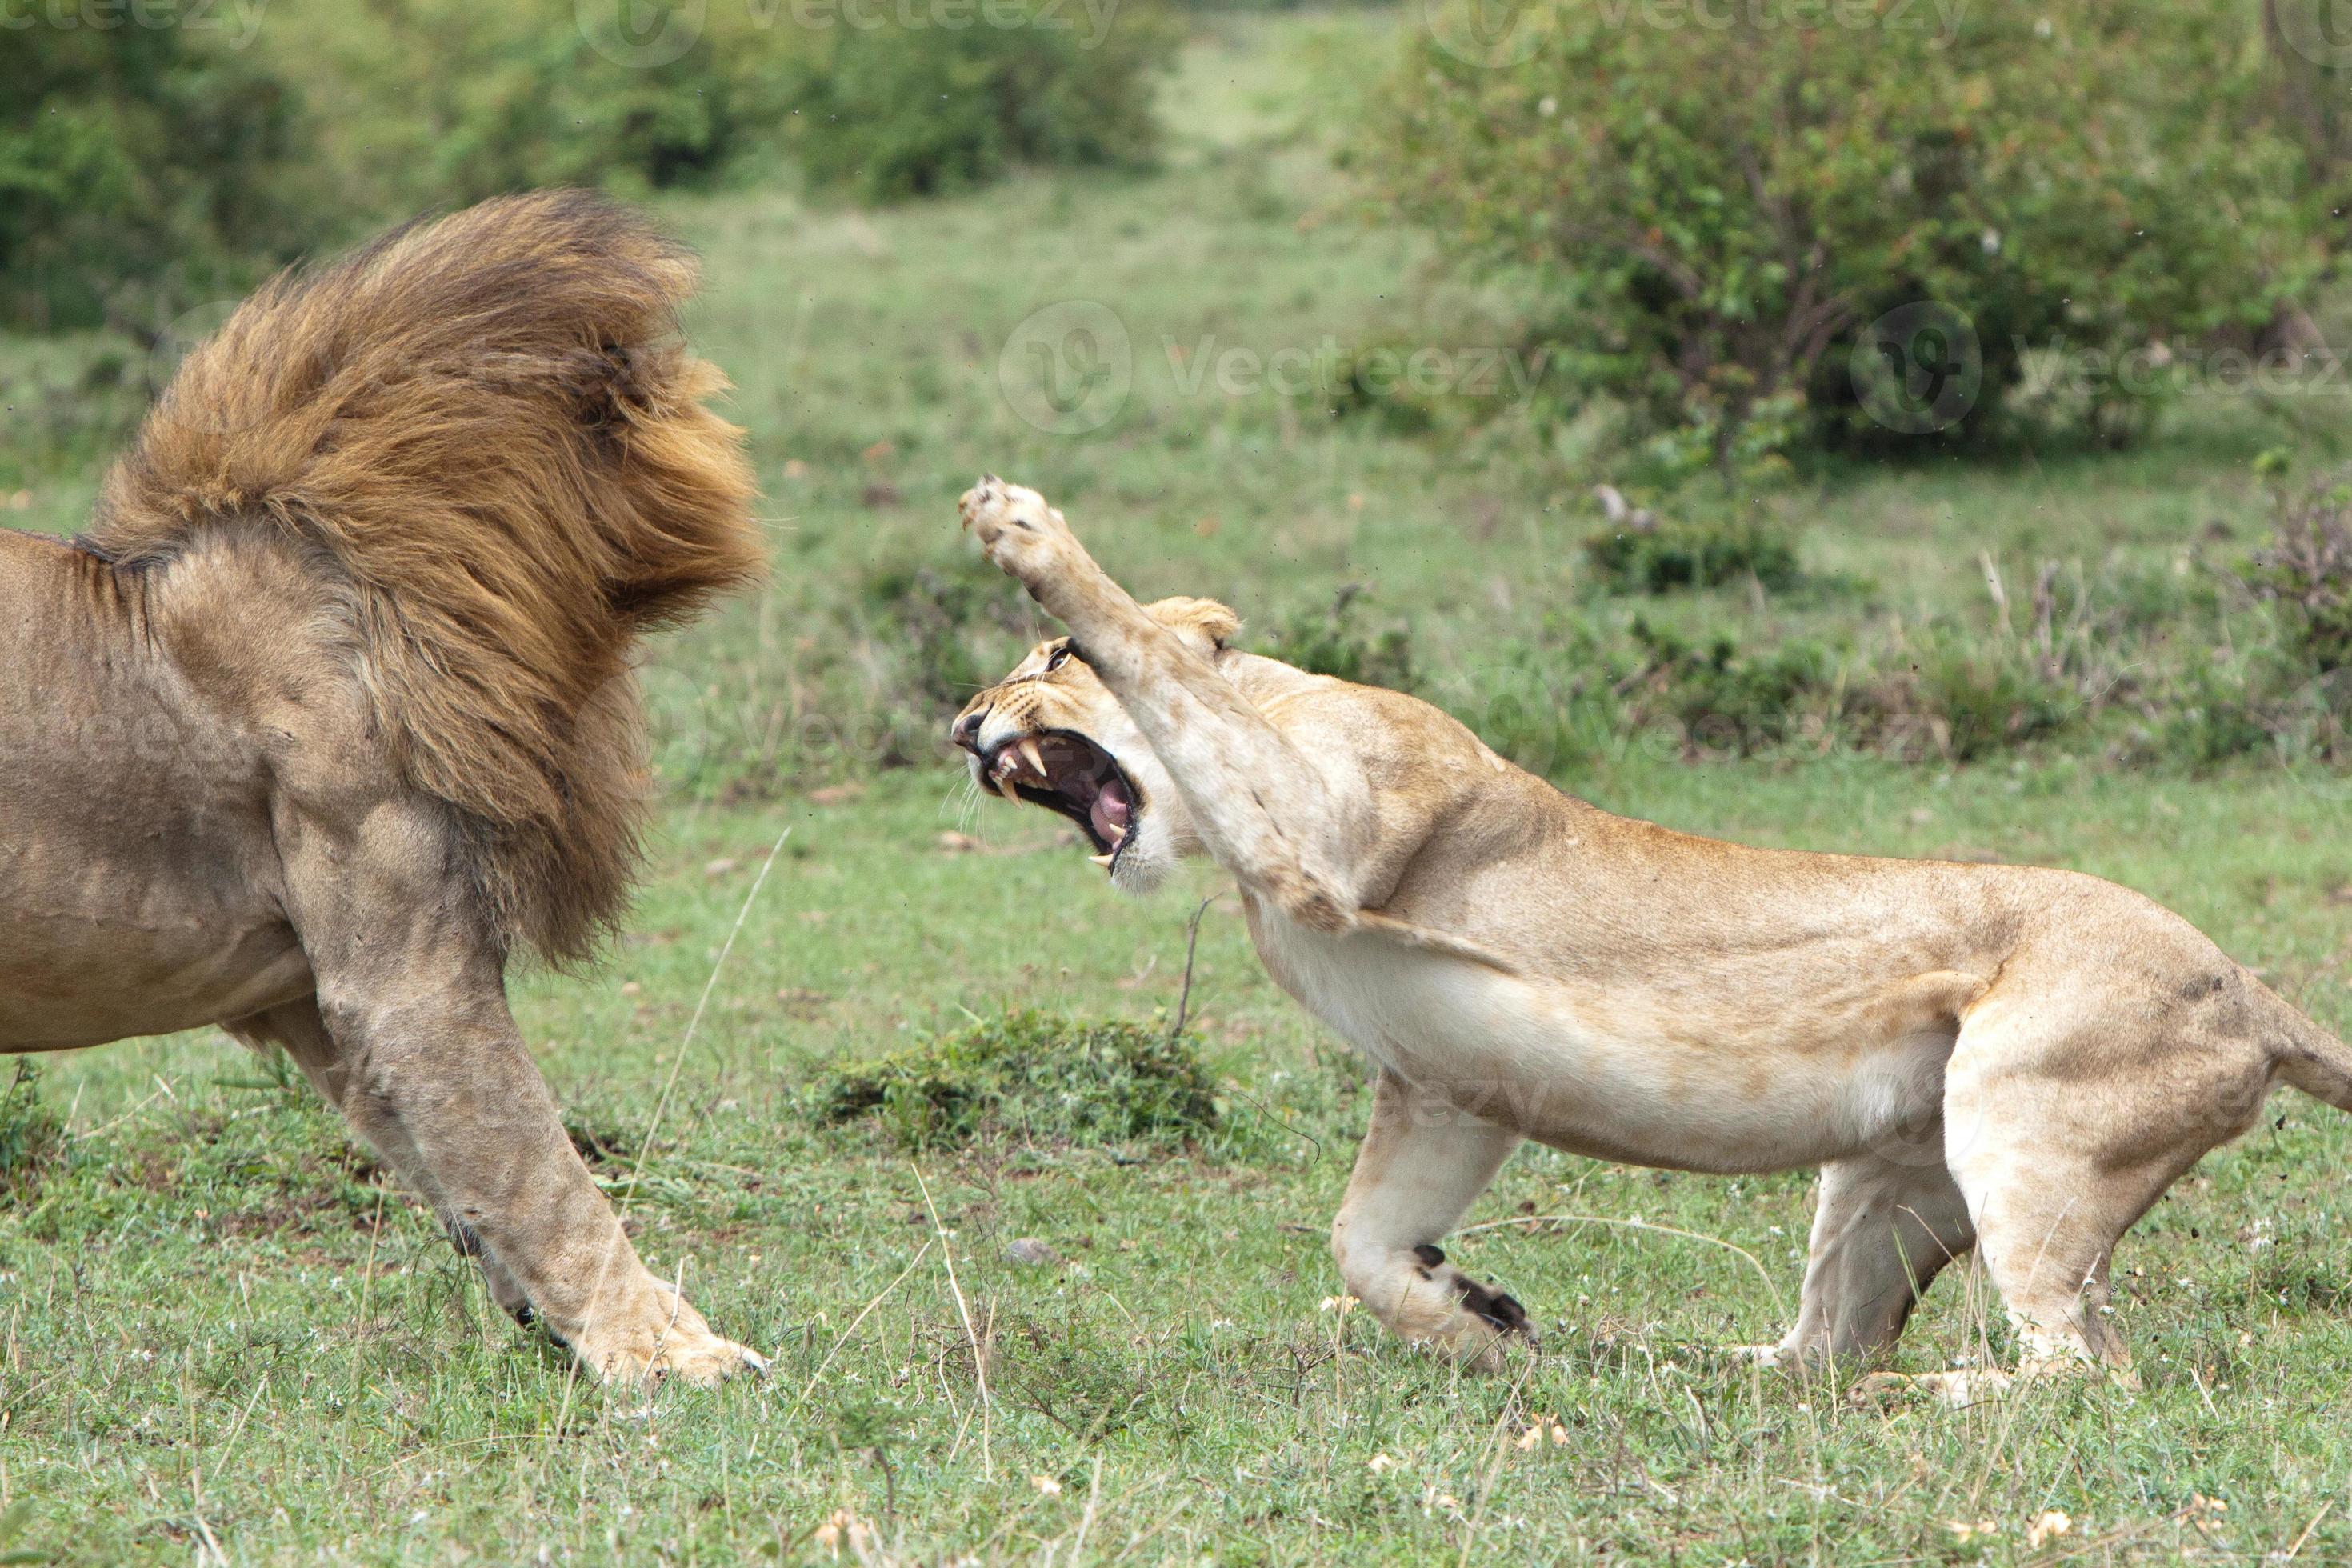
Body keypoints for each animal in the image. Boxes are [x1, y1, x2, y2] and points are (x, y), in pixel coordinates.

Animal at [0, 193, 770, 1385]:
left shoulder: (314, 996)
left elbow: (464, 1166)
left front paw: (560, 1322)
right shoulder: (403, 970)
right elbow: (541, 1168)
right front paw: (670, 1354)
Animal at [952, 476, 2352, 1400]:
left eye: (1051, 660)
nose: (964, 723)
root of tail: (2255, 990)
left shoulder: (1333, 823)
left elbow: (1158, 659)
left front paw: (1024, 528)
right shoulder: (1446, 1085)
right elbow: (1360, 1247)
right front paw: (1476, 1322)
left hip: (2022, 1126)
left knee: (2085, 1372)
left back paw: (1915, 1397)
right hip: (1889, 1177)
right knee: (1826, 1345)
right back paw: (1673, 1360)